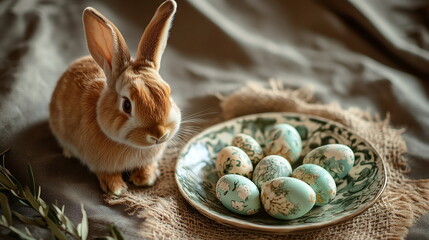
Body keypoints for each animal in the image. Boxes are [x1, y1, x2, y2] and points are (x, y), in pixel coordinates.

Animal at [49, 0, 180, 195]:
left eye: (168, 94)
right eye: (127, 105)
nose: (159, 134)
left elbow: (145, 165)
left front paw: (146, 178)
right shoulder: (98, 163)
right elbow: (105, 173)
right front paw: (116, 188)